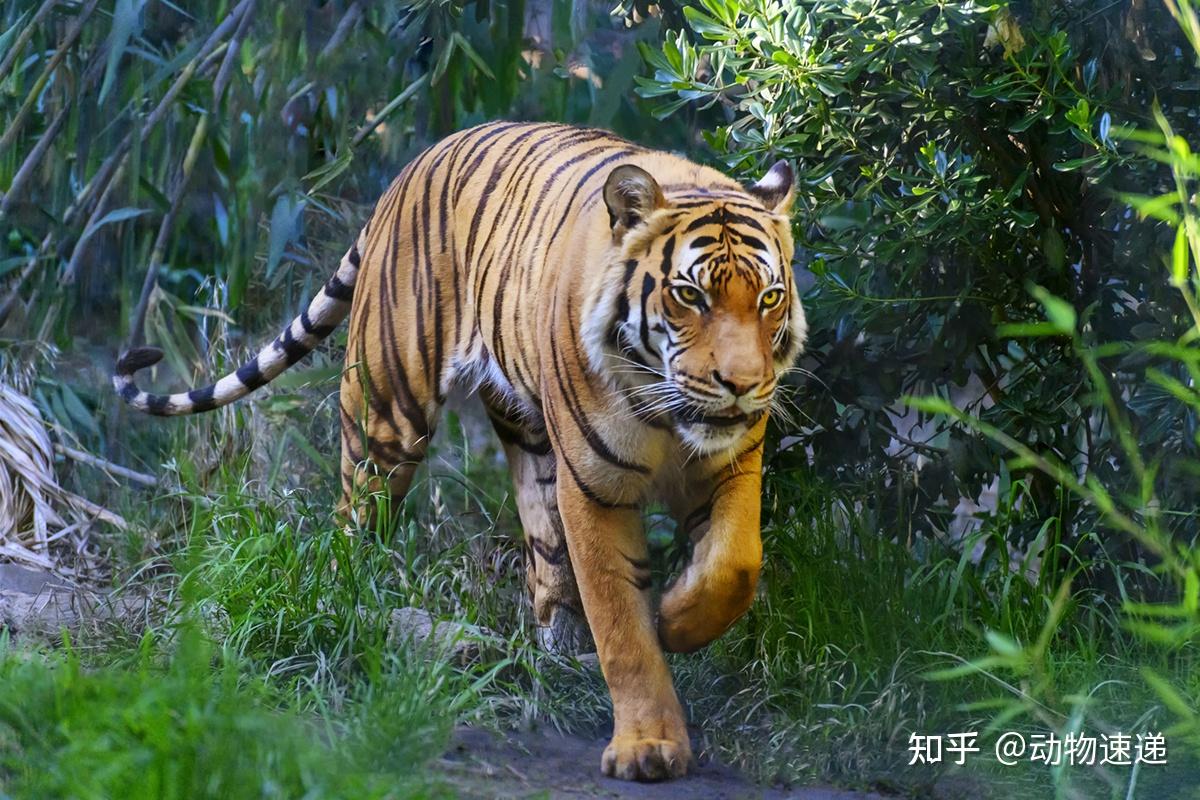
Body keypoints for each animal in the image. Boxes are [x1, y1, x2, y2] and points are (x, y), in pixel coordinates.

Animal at [113, 121, 806, 782]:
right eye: (691, 296)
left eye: (769, 297)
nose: (743, 384)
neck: (670, 417)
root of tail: (416, 163)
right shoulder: (596, 488)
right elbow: (622, 627)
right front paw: (648, 745)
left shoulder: (732, 462)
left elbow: (734, 564)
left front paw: (678, 618)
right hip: (385, 414)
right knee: (352, 520)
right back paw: (339, 605)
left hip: (528, 436)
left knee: (544, 551)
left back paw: (562, 651)